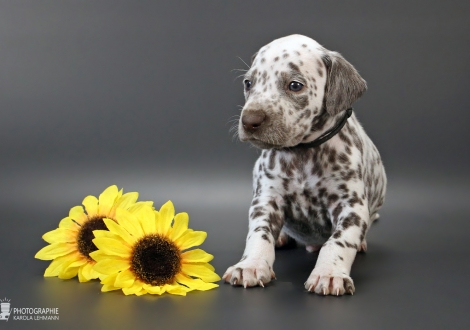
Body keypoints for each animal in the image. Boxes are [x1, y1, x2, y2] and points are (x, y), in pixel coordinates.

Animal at [223, 34, 386, 296]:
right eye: (248, 83)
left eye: (295, 85)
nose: (249, 120)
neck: (302, 154)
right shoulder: (266, 200)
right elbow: (259, 234)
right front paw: (251, 265)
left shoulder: (351, 207)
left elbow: (338, 242)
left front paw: (329, 273)